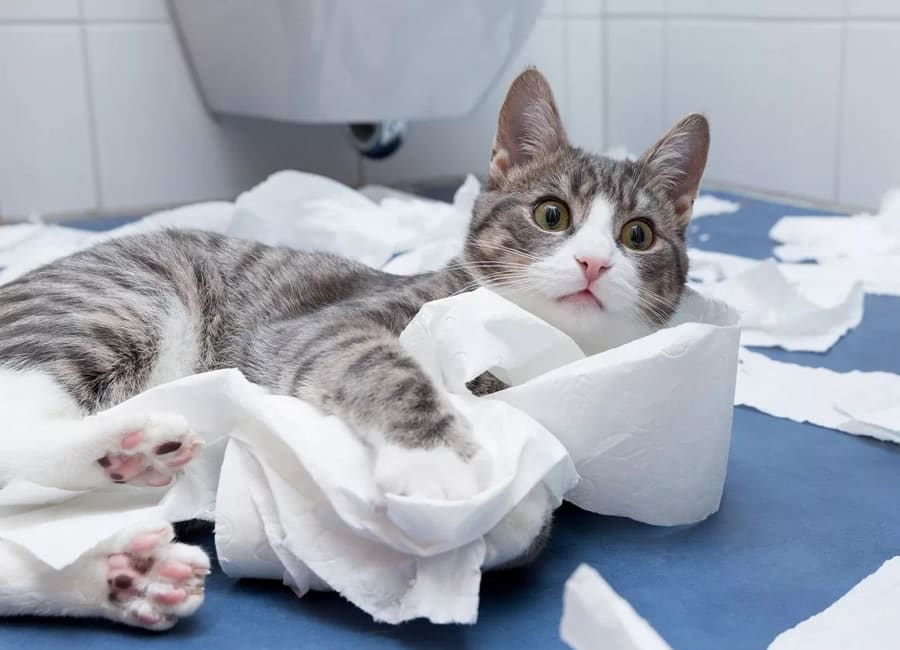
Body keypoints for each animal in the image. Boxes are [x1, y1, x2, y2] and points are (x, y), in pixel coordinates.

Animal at [0, 67, 712, 628]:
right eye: (551, 215)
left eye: (638, 234)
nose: (594, 263)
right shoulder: (318, 327)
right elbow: (385, 367)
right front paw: (442, 464)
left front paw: (513, 515)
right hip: (121, 301)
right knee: (18, 428)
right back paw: (132, 442)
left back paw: (123, 570)